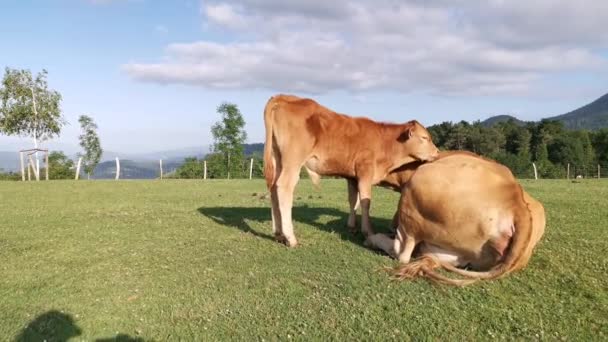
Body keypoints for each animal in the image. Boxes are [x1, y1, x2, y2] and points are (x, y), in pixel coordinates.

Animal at [262, 95, 436, 247]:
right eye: (425, 138)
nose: (437, 152)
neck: (384, 144)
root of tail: (283, 97)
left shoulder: (352, 177)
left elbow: (354, 200)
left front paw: (352, 226)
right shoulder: (365, 171)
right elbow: (366, 201)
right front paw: (367, 231)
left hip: (277, 160)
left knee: (273, 189)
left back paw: (278, 233)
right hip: (293, 161)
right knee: (284, 188)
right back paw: (290, 238)